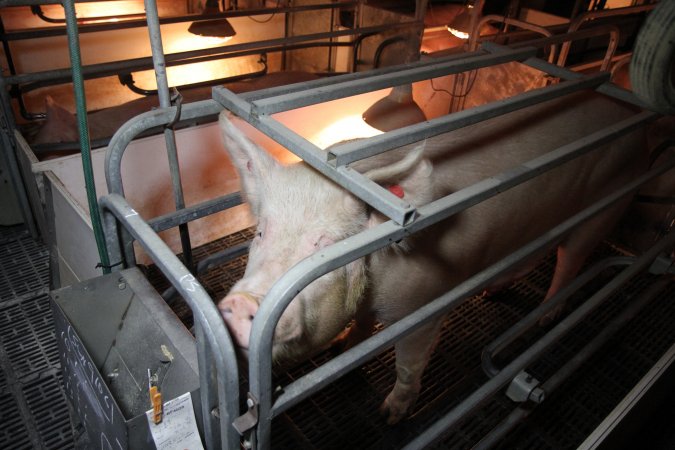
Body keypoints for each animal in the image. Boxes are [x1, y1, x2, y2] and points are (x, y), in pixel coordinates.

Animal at [219, 89, 648, 424]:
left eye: (324, 246)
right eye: (261, 233)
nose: (241, 302)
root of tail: (625, 106)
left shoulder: (425, 303)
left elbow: (408, 363)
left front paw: (390, 415)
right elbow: (359, 327)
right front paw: (343, 347)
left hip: (608, 204)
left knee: (569, 261)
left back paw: (547, 317)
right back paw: (492, 292)